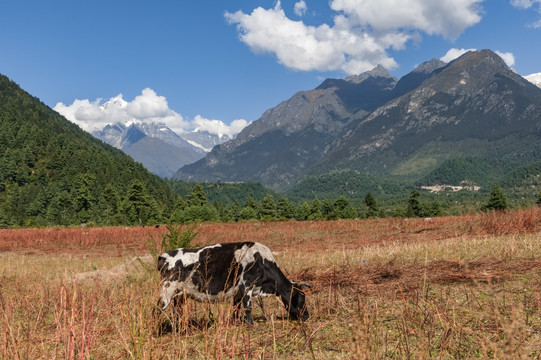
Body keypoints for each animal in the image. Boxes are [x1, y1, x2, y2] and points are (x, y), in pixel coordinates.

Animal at [156, 242, 308, 324]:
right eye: (301, 299)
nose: (306, 316)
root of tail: (163, 256)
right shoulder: (246, 286)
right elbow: (248, 308)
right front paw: (250, 325)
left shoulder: (238, 292)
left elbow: (236, 309)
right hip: (166, 291)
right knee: (157, 309)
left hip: (178, 295)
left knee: (176, 312)